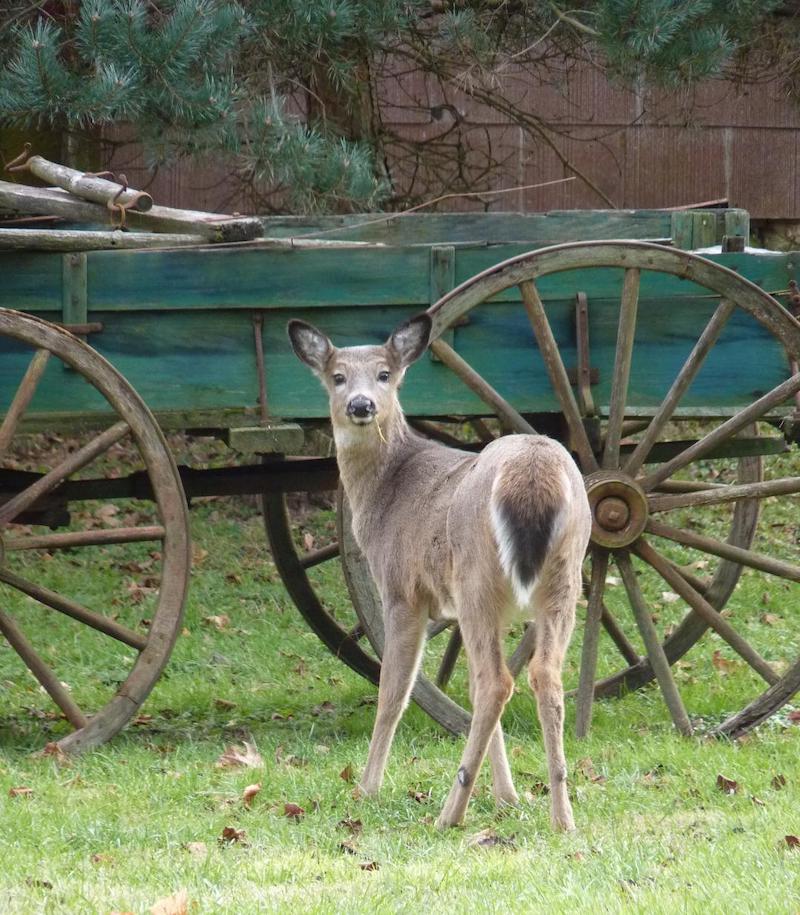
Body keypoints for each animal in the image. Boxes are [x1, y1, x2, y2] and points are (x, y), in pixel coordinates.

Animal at [288, 313, 592, 830]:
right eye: (337, 376)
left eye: (385, 373)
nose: (361, 405)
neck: (386, 490)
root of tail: (534, 469)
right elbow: (466, 687)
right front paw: (509, 795)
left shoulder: (401, 590)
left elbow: (393, 691)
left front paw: (366, 788)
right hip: (563, 580)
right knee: (540, 677)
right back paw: (562, 816)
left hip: (476, 580)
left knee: (497, 683)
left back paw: (450, 813)